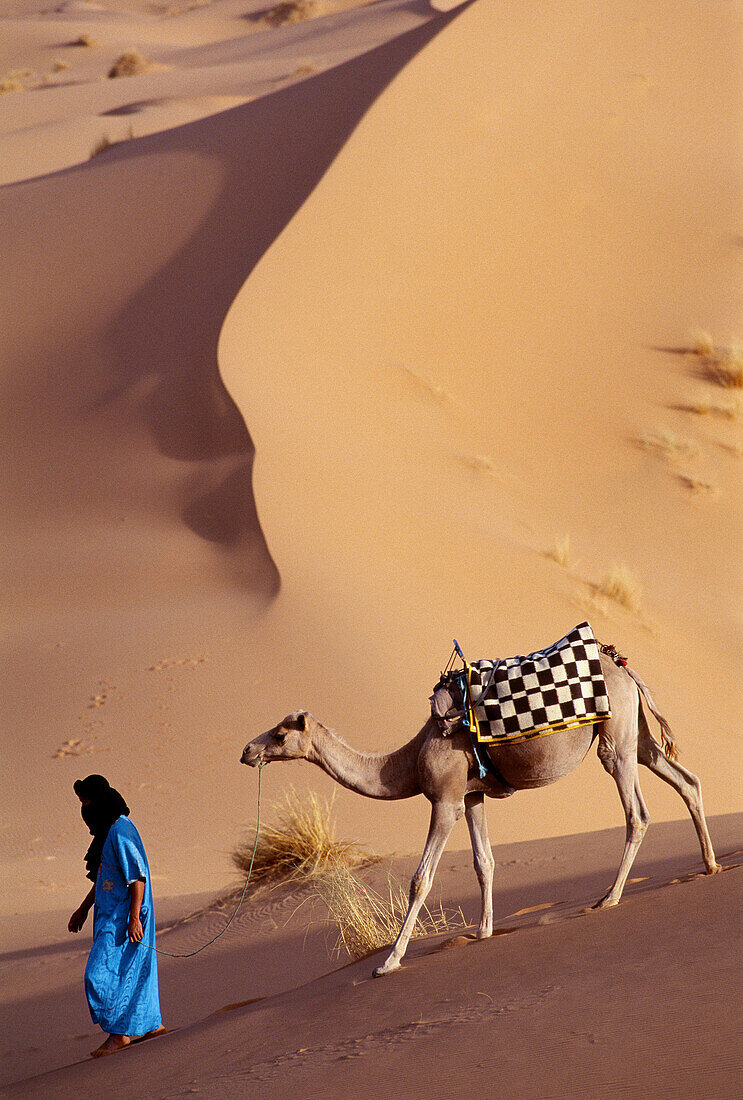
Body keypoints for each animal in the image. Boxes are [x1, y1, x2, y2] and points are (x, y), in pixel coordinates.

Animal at [242, 646, 722, 976]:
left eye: (281, 733)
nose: (248, 750)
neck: (409, 759)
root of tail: (625, 669)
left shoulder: (445, 800)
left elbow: (421, 879)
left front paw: (389, 961)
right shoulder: (473, 796)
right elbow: (484, 861)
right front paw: (484, 932)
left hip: (614, 737)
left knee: (637, 812)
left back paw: (610, 898)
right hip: (634, 733)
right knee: (685, 779)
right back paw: (710, 865)